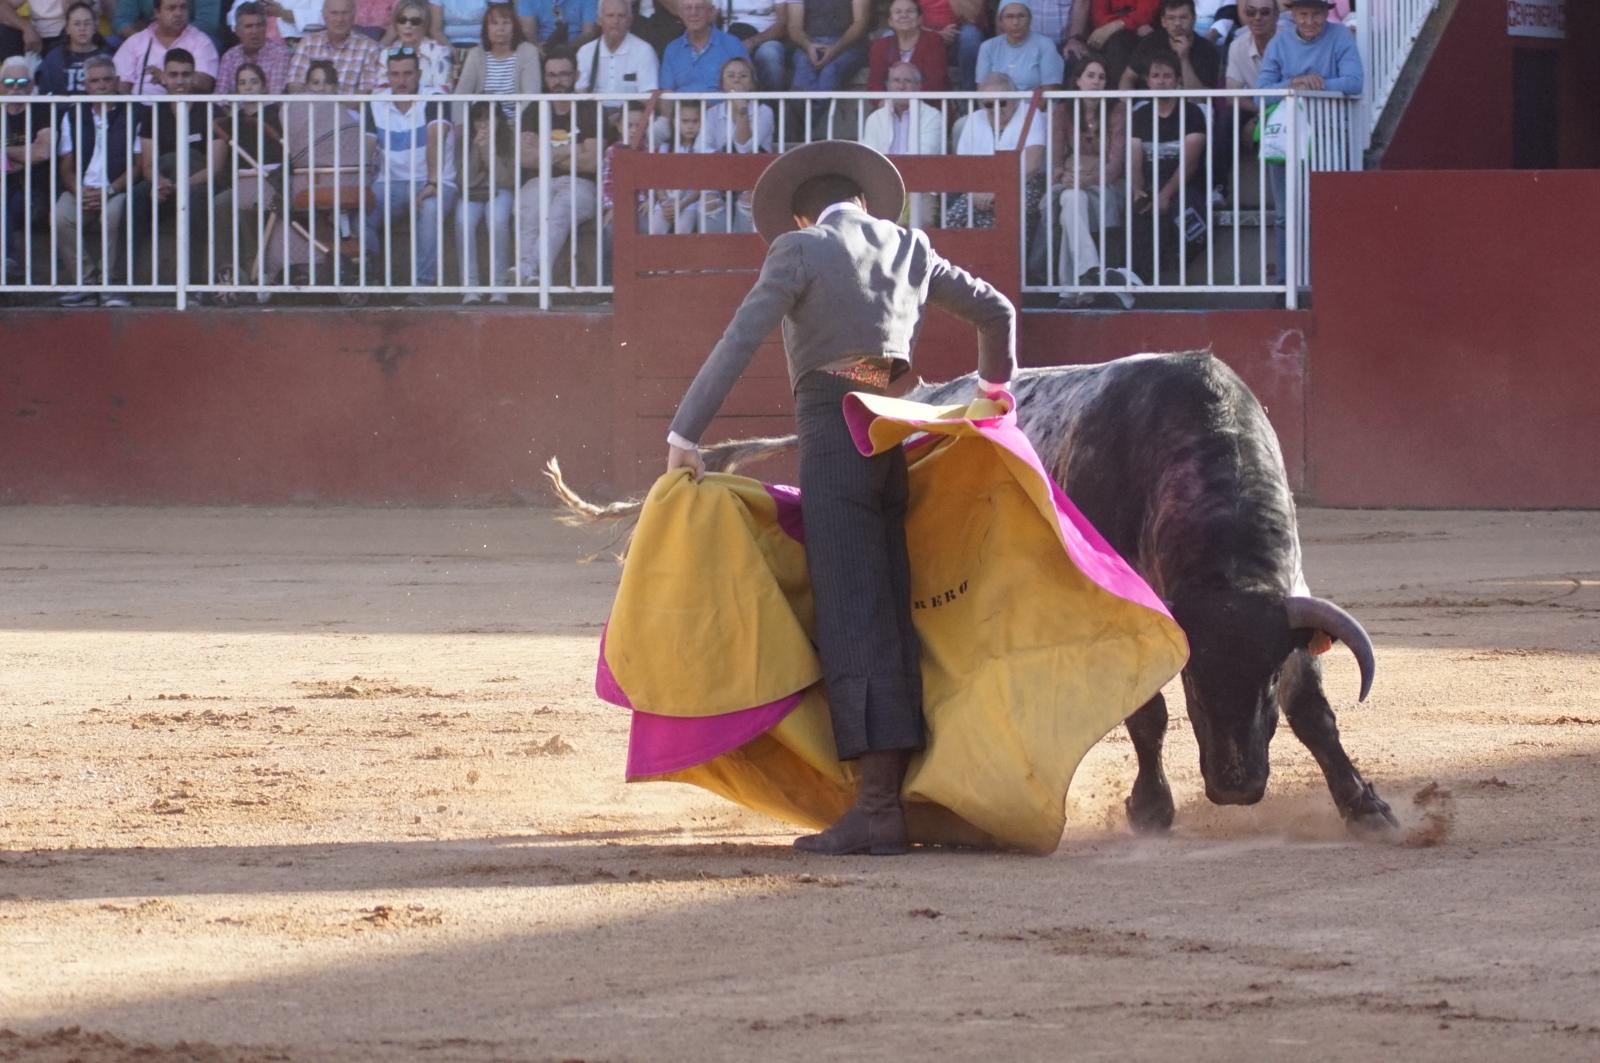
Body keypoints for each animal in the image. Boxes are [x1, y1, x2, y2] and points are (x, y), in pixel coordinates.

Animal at [544, 352, 1395, 832]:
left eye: (1262, 678)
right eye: (1193, 677)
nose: (1237, 786)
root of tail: (927, 393)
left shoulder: (1284, 605)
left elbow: (1314, 713)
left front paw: (1366, 805)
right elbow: (1146, 717)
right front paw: (1150, 810)